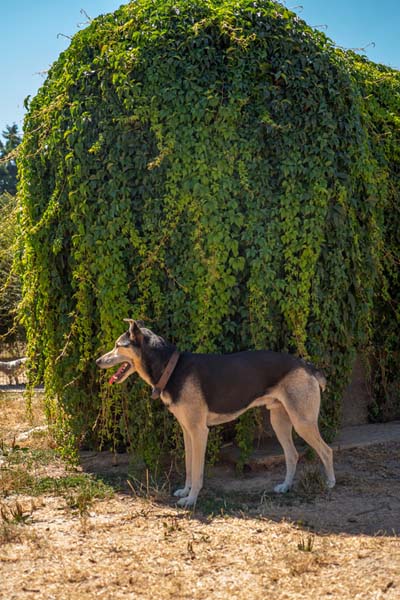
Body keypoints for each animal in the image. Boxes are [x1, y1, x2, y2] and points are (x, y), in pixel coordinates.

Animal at [96, 318, 334, 506]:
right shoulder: (187, 432)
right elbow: (189, 466)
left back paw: (330, 483)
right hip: (280, 422)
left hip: (302, 422)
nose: (97, 361)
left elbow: (198, 471)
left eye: (118, 345)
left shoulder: (199, 432)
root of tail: (308, 366)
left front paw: (191, 499)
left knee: (326, 451)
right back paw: (285, 486)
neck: (171, 368)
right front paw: (185, 491)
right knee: (292, 454)